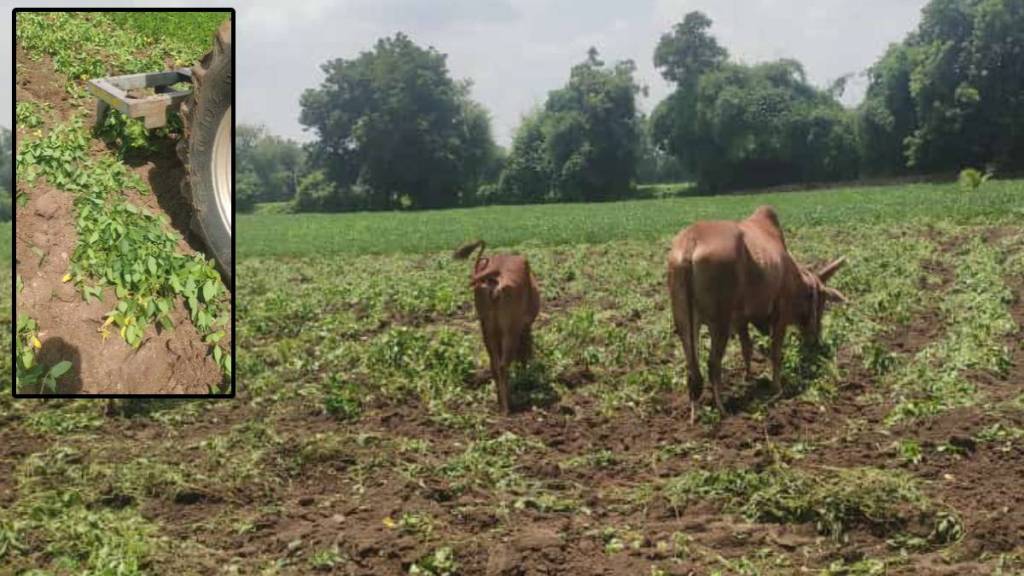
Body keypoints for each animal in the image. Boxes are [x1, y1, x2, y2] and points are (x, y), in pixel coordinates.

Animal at [452, 238, 540, 412]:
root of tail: (496, 270)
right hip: (509, 331)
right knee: (503, 365)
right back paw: (507, 408)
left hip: (487, 328)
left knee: (494, 364)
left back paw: (500, 403)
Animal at [663, 206, 847, 422]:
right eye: (823, 302)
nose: (816, 340)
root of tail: (691, 240)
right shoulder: (780, 315)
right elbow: (775, 353)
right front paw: (777, 387)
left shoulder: (740, 319)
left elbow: (747, 348)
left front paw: (748, 378)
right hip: (719, 322)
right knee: (713, 364)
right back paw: (722, 409)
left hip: (684, 321)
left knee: (693, 370)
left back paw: (694, 412)